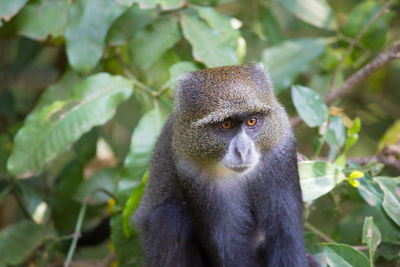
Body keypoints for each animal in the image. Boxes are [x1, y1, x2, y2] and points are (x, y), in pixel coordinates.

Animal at [134, 63, 312, 266]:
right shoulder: (193, 171)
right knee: (169, 218)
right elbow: (230, 248)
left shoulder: (281, 149)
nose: (243, 151)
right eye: (226, 124)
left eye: (252, 121)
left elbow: (285, 237)